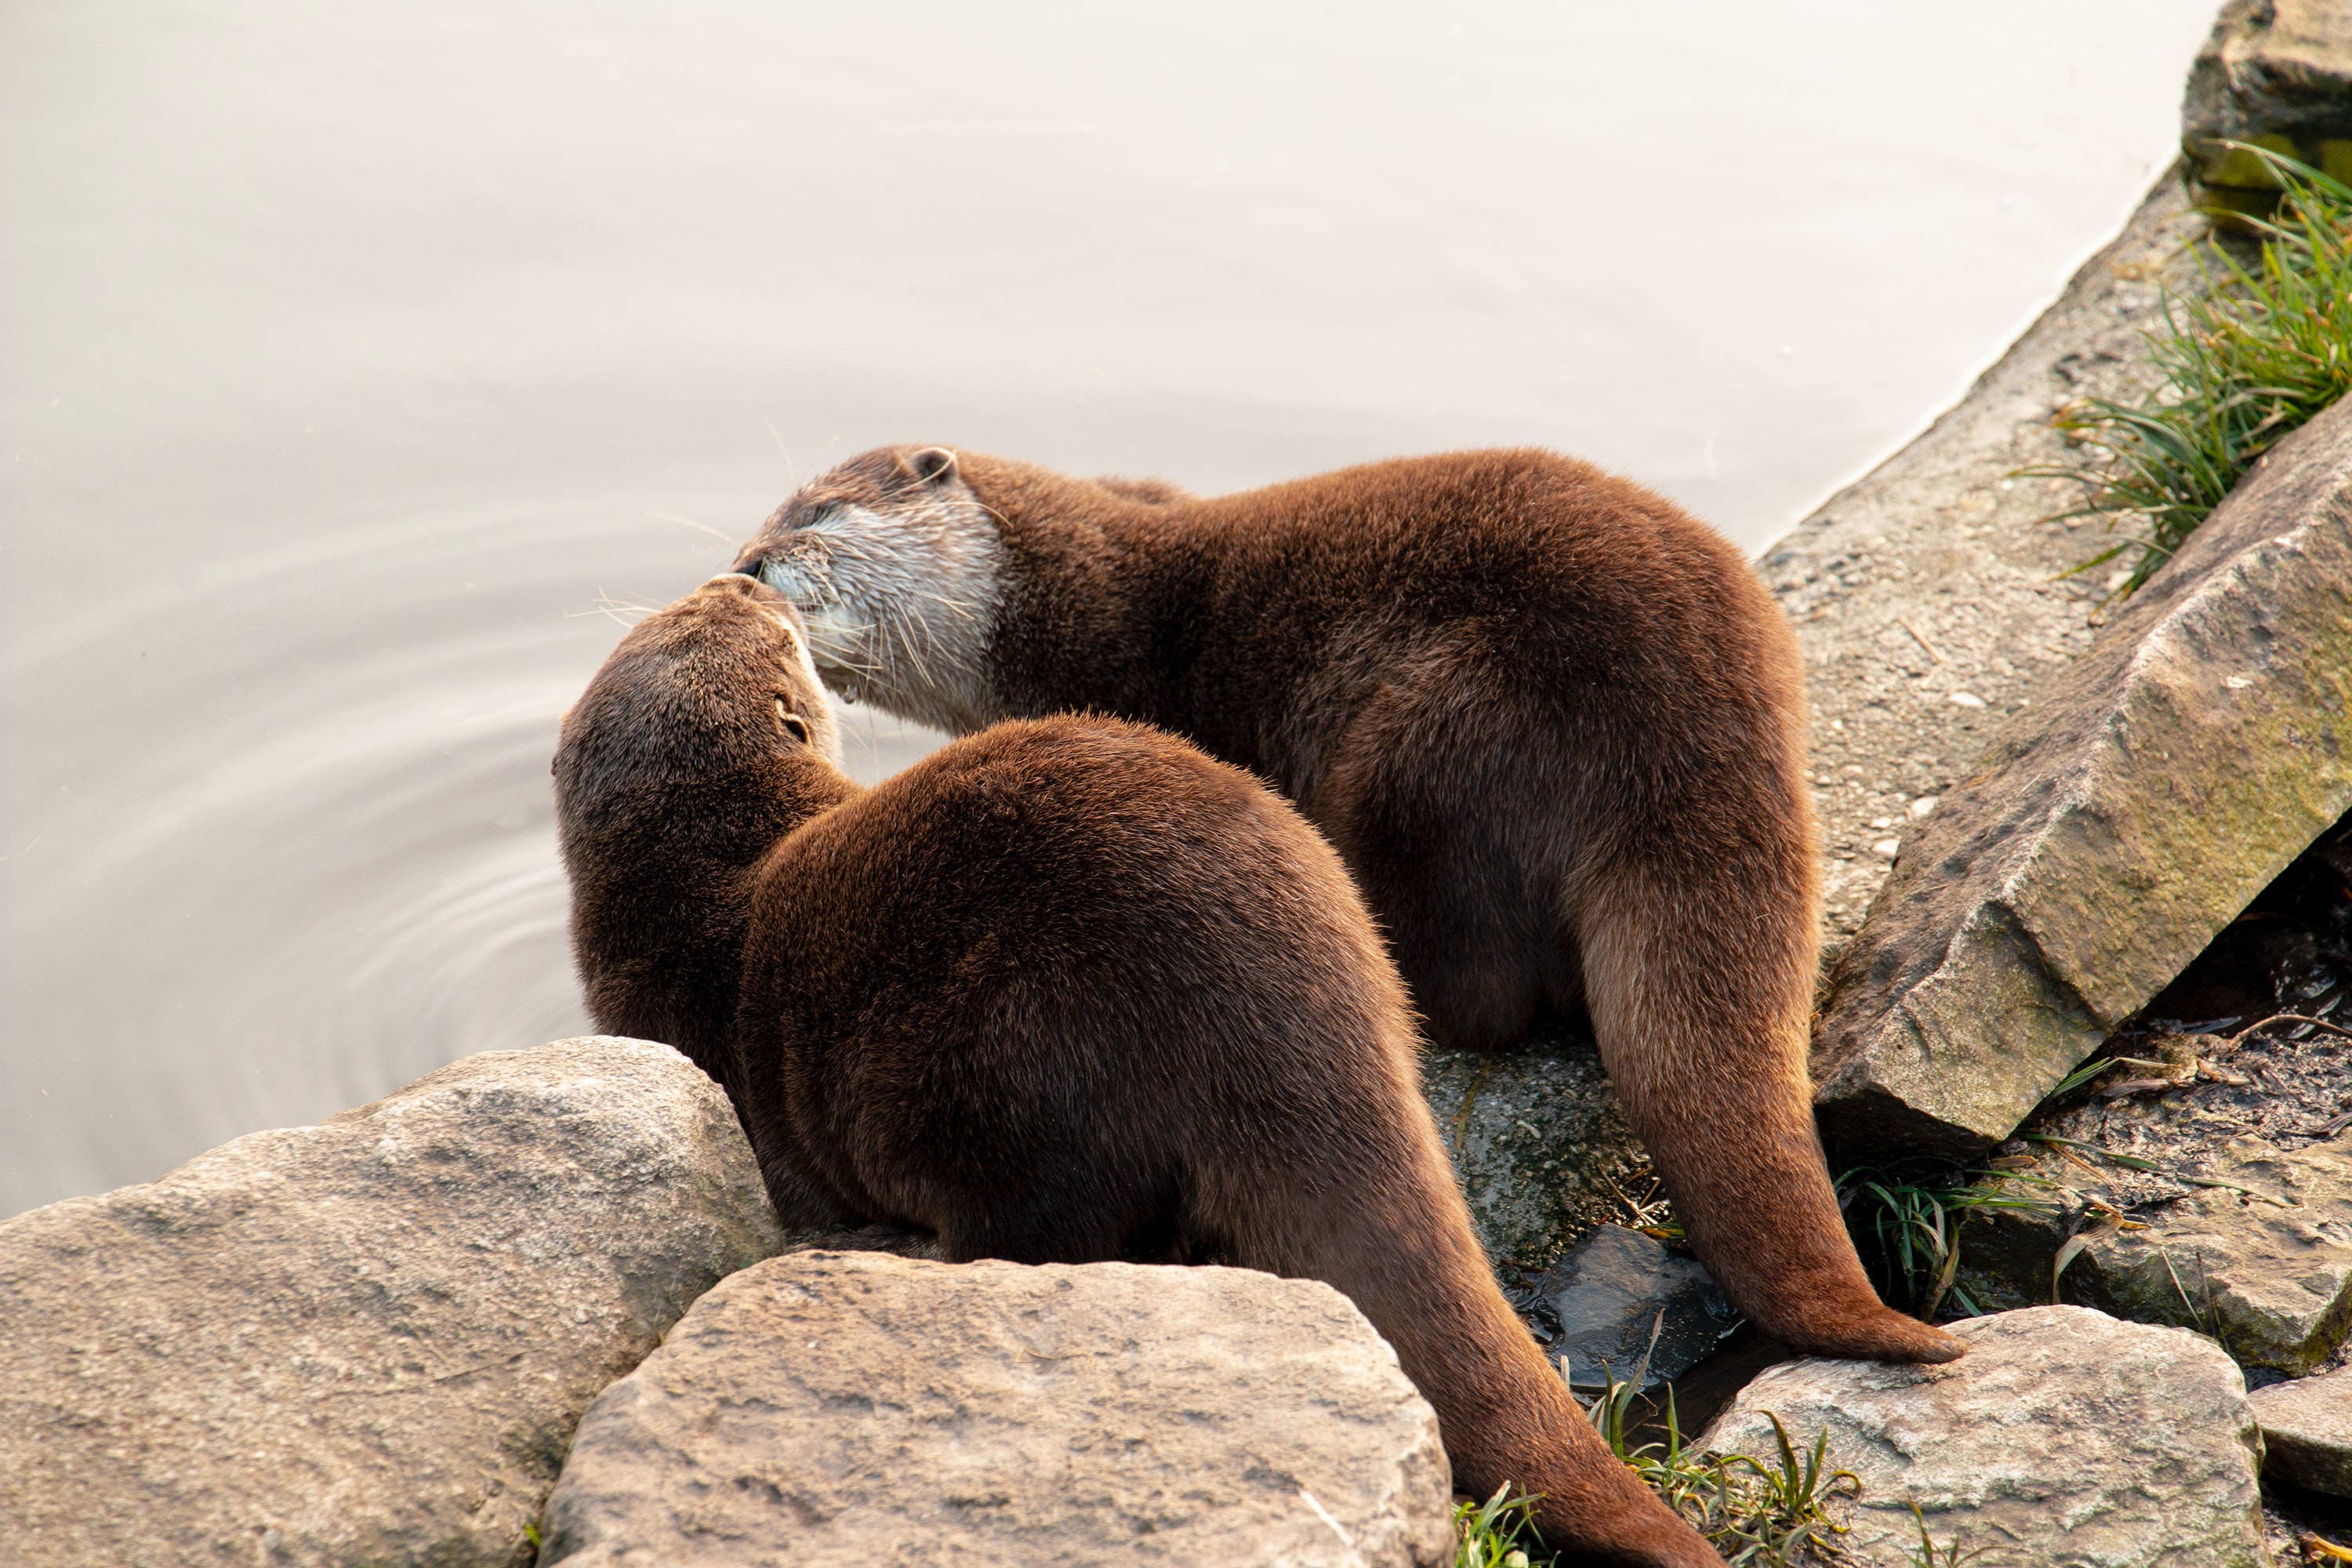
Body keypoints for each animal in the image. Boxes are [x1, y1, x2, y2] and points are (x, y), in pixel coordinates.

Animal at [555, 575, 1731, 1568]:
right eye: (693, 617)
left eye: (757, 631)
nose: (745, 578)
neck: (697, 875)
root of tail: (1285, 1014)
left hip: (1021, 1087)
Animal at [729, 444, 1966, 1373]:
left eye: (819, 513)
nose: (744, 564)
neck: (1073, 607)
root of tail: (1705, 721)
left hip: (1426, 743)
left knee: (1481, 990)